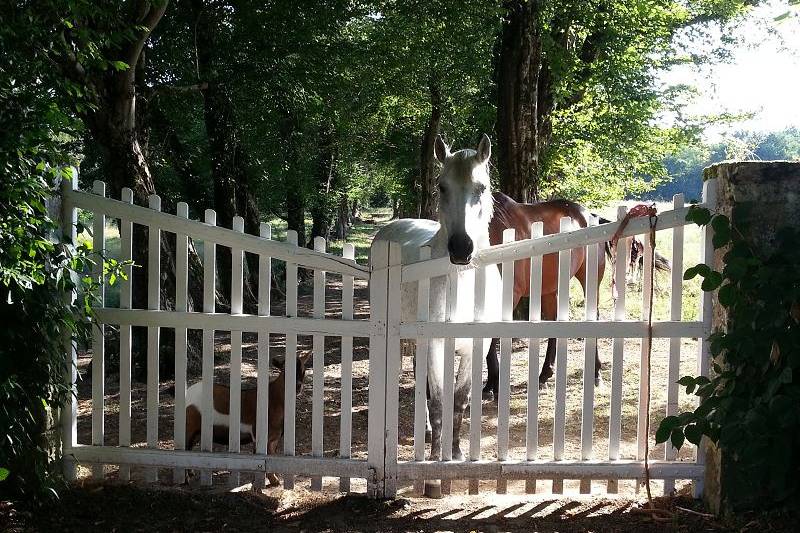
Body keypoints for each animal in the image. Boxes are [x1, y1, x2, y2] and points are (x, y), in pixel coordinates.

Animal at [370, 132, 500, 482]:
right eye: (442, 186)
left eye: (482, 187)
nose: (461, 248)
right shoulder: (436, 343)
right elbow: (440, 400)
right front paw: (434, 460)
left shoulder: (475, 347)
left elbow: (459, 400)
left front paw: (455, 452)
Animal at [482, 191, 668, 400]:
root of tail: (590, 216)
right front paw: (490, 384)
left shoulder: (509, 295)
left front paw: (493, 385)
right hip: (550, 289)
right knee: (554, 320)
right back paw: (544, 374)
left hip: (589, 279)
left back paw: (595, 374)